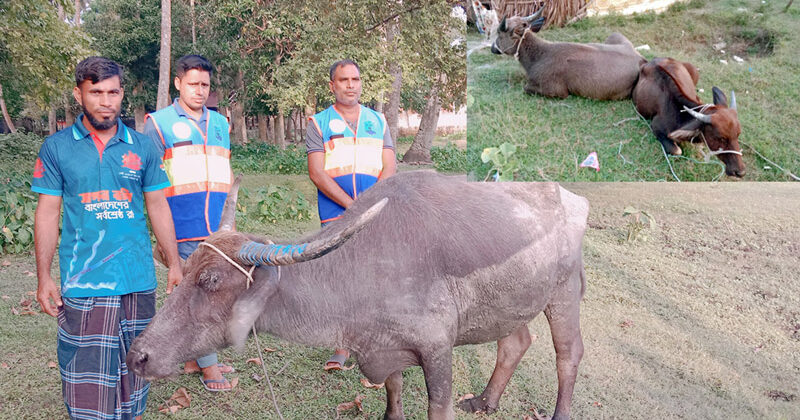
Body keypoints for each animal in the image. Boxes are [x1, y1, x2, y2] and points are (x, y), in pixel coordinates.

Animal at [125, 171, 588, 420]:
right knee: (515, 342)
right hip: (512, 305)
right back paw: (487, 401)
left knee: (568, 356)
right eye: (186, 274)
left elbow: (438, 405)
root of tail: (570, 198)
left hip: (564, 294)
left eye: (212, 281)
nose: (137, 356)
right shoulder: (382, 347)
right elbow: (393, 391)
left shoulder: (437, 352)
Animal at [488, 10, 648, 99]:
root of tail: (640, 59)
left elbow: (525, 88)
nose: (492, 48)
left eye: (499, 33)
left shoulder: (557, 91)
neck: (539, 55)